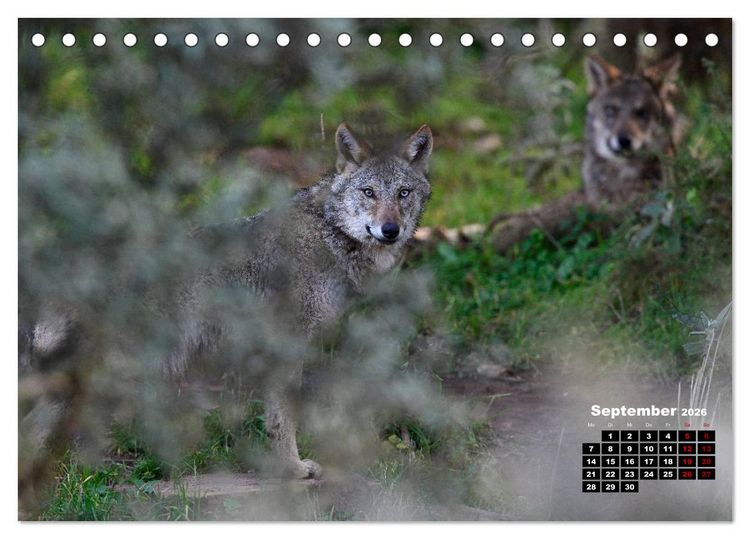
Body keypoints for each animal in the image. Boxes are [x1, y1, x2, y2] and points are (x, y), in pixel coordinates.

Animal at [168, 123, 433, 479]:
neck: (329, 235)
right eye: (369, 192)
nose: (390, 229)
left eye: (403, 193)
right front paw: (292, 468)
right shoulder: (288, 343)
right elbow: (284, 416)